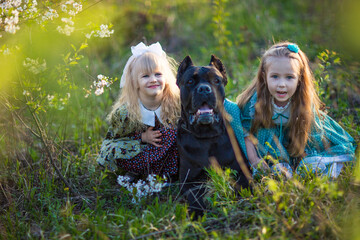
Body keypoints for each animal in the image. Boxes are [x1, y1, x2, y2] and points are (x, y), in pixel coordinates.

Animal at [175, 55, 249, 218]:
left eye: (216, 80)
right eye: (190, 81)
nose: (204, 89)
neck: (207, 136)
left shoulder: (241, 167)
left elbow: (243, 184)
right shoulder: (189, 179)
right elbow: (195, 195)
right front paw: (197, 213)